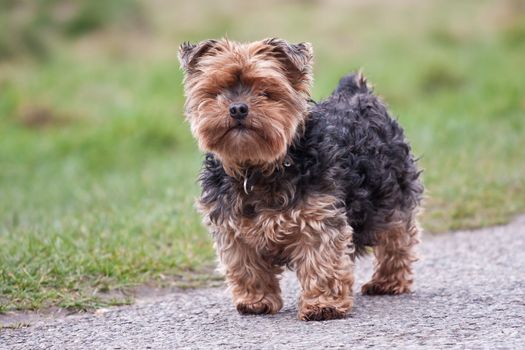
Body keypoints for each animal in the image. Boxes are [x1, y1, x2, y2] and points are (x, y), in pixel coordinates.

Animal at [178, 37, 424, 320]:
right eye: (218, 90)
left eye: (265, 91)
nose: (238, 108)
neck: (259, 167)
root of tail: (357, 91)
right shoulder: (233, 227)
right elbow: (246, 266)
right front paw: (255, 300)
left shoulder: (318, 217)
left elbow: (321, 262)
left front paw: (323, 304)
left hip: (391, 193)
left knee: (397, 238)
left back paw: (388, 281)